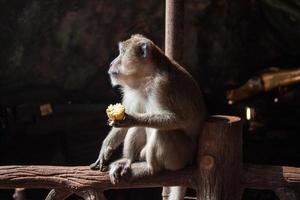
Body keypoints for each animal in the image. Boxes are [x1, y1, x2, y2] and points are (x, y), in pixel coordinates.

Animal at [89, 34, 206, 200]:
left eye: (122, 52)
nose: (111, 63)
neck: (145, 78)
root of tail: (191, 161)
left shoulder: (162, 85)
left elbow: (177, 119)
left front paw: (130, 119)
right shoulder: (130, 90)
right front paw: (105, 149)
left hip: (181, 158)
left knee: (162, 131)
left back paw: (150, 169)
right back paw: (127, 161)